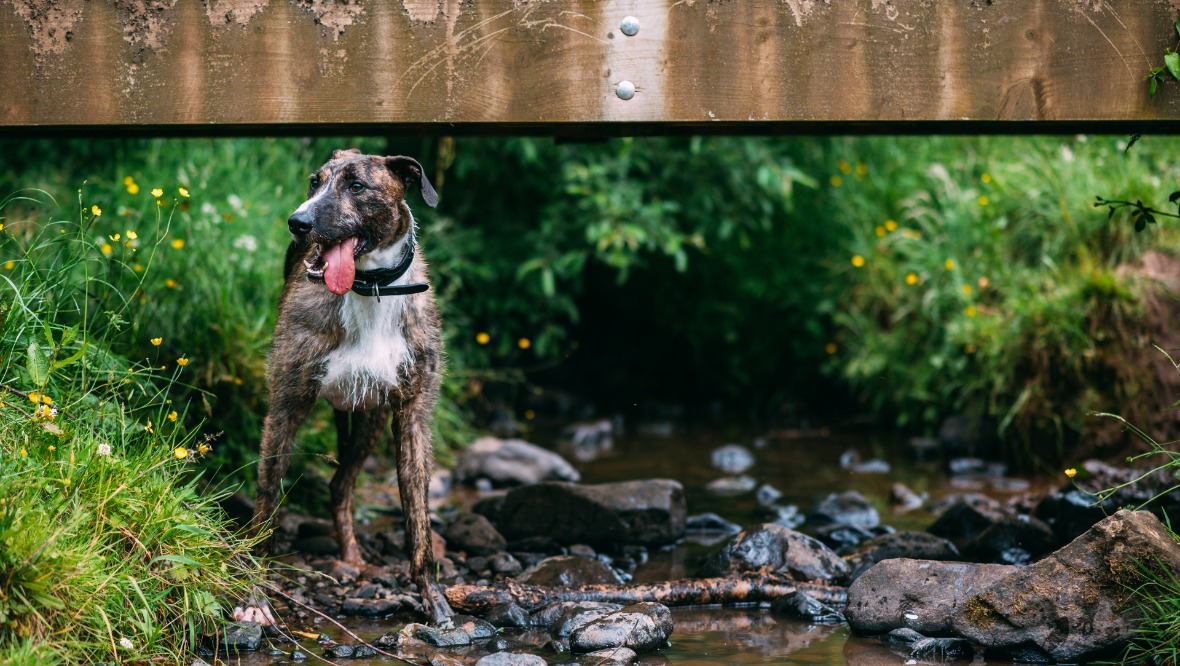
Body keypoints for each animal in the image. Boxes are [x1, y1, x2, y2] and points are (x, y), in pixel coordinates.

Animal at [250, 149, 450, 623]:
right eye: (314, 181)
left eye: (357, 186)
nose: (298, 222)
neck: (369, 287)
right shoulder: (285, 405)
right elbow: (267, 502)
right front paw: (254, 598)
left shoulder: (413, 416)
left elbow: (419, 520)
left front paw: (432, 599)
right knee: (336, 484)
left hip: (371, 420)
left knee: (341, 484)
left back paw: (353, 557)